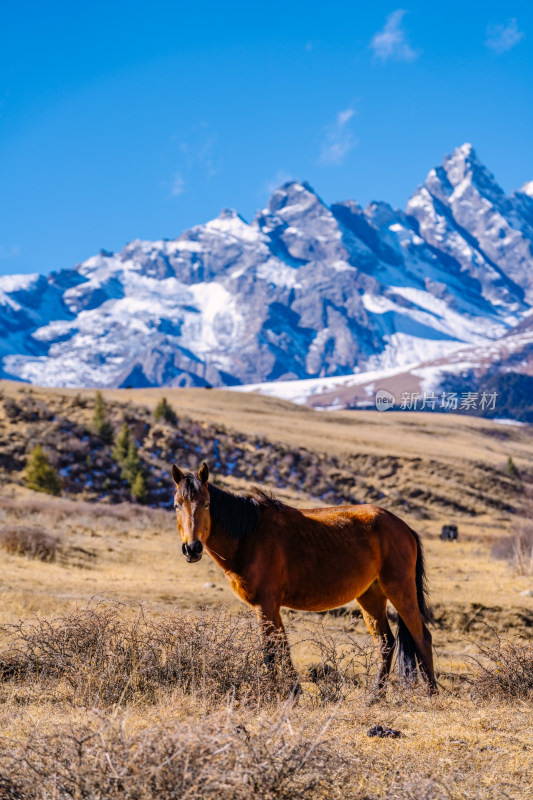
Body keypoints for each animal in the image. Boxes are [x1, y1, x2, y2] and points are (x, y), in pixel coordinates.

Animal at [170, 462, 436, 700]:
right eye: (176, 505)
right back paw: (374, 697)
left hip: (400, 590)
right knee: (385, 643)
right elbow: (282, 647)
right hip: (371, 596)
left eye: (206, 504)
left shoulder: (265, 604)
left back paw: (431, 693)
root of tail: (403, 527)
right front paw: (293, 691)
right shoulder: (269, 607)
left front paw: (274, 693)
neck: (249, 535)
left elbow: (270, 651)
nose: (192, 549)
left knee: (421, 636)